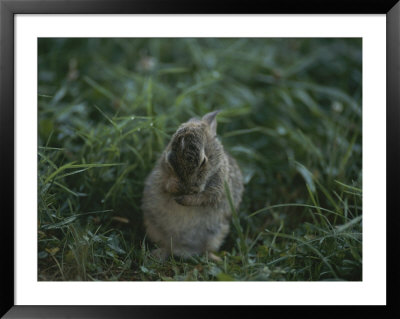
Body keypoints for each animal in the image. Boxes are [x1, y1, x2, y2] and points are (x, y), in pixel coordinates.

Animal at [142, 110, 242, 262]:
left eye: (203, 161)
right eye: (170, 159)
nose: (190, 188)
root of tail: (183, 249)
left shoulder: (219, 187)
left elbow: (205, 198)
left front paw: (183, 199)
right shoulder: (161, 176)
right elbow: (167, 185)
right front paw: (177, 187)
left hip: (216, 234)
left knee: (206, 249)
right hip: (153, 227)